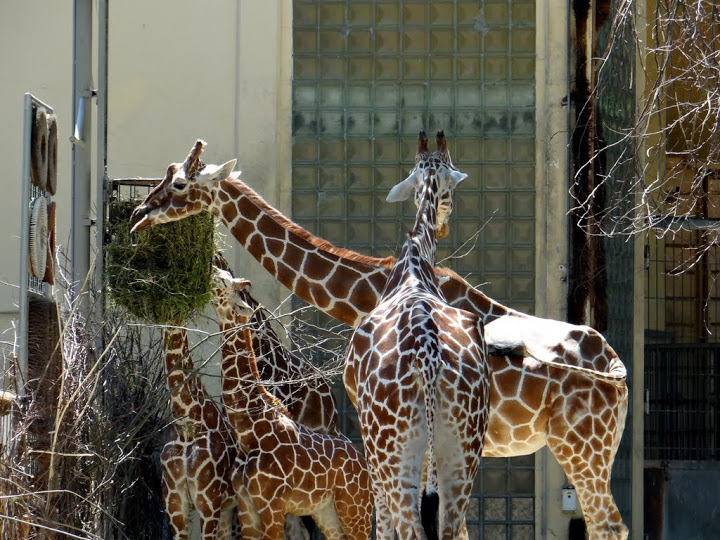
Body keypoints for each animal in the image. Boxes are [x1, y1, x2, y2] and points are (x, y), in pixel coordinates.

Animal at [211, 270, 373, 540]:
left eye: (223, 280)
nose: (209, 270)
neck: (248, 429)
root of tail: (365, 467)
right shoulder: (246, 507)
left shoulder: (272, 506)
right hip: (326, 511)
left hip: (354, 507)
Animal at [343, 131, 489, 539]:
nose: (442, 227)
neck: (414, 263)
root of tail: (428, 357)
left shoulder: (369, 441)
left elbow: (382, 524)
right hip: (463, 454)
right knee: (448, 526)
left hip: (393, 452)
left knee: (410, 526)